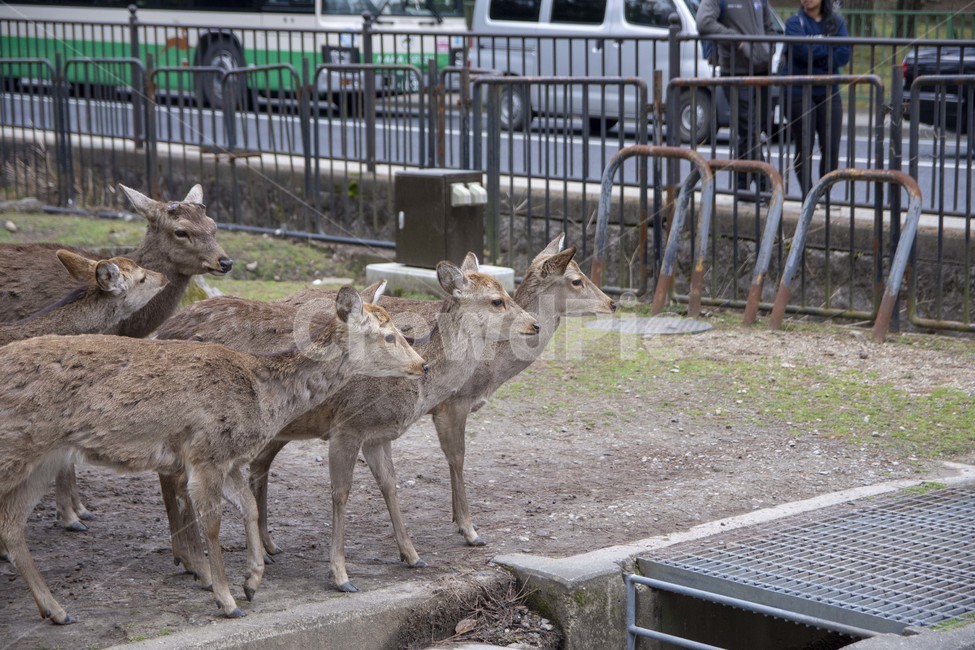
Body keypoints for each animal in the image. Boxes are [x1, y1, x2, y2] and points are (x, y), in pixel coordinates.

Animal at [0, 286, 427, 625]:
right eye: (389, 335)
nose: (422, 364)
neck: (262, 395)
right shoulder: (206, 453)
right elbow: (214, 525)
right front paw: (227, 600)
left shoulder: (228, 458)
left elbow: (249, 507)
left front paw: (252, 581)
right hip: (15, 447)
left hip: (45, 459)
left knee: (11, 523)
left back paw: (56, 610)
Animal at [154, 255, 541, 592]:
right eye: (497, 301)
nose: (535, 323)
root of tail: (163, 329)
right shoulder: (348, 426)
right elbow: (341, 493)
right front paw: (341, 575)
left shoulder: (377, 435)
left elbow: (390, 485)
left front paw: (412, 555)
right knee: (177, 480)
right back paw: (198, 565)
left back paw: (249, 551)